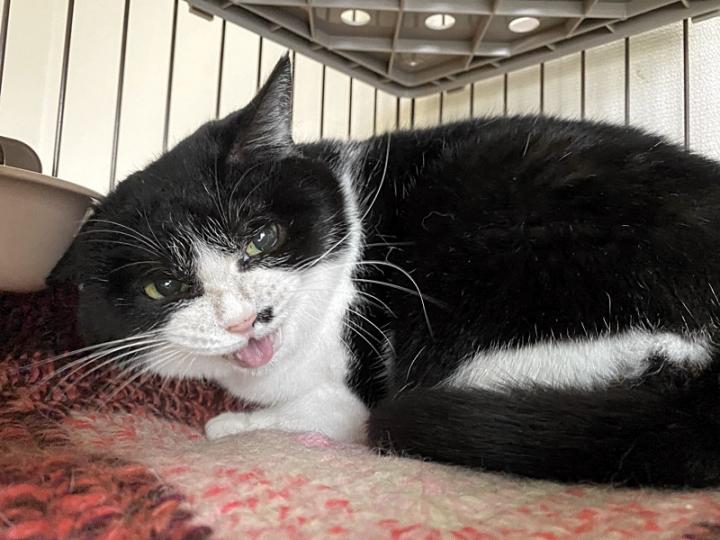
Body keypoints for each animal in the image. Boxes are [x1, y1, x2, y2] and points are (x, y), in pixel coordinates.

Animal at [50, 55, 720, 488]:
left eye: (262, 237)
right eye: (164, 285)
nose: (247, 319)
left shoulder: (355, 375)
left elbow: (329, 413)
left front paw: (231, 423)